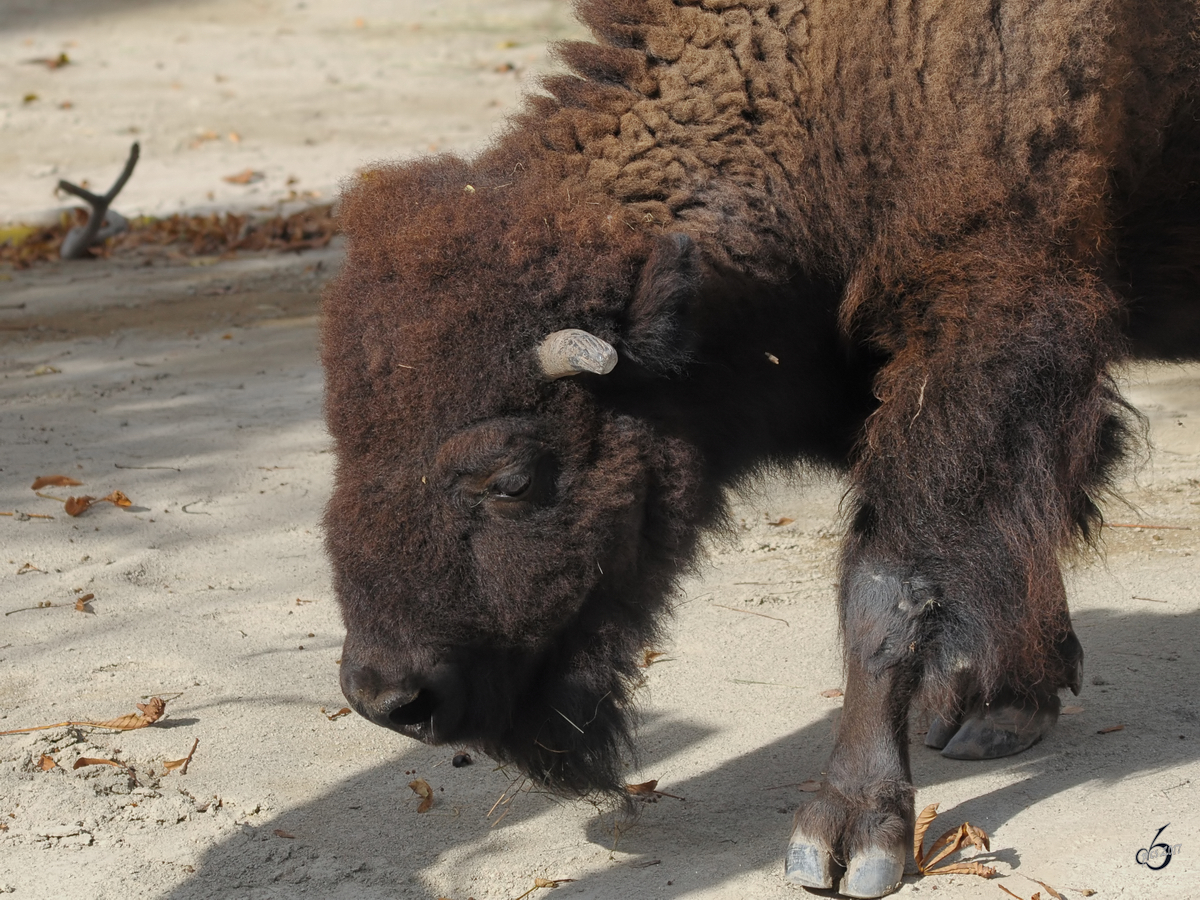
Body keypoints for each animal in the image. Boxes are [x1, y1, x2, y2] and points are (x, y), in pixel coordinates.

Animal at [321, 1, 1200, 897]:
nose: (388, 697)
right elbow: (1020, 533)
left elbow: (888, 584)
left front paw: (850, 833)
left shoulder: (987, 335)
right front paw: (1004, 711)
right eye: (343, 437)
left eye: (512, 479)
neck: (816, 87)